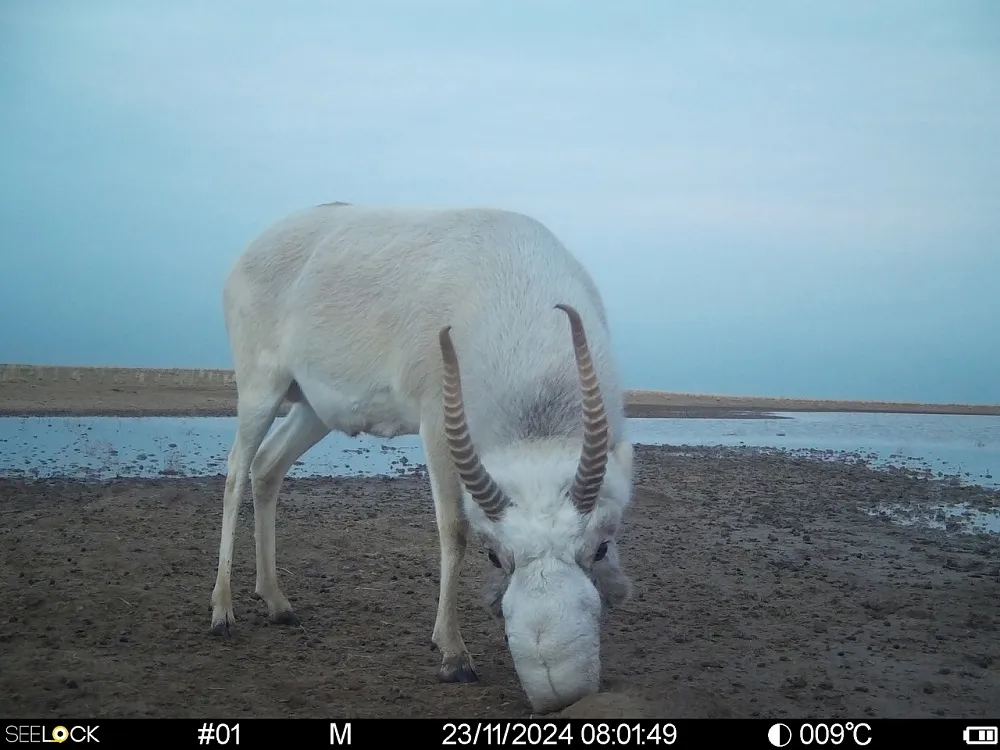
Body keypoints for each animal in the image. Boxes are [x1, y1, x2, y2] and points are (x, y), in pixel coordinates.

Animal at [211, 201, 632, 716]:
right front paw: (453, 656)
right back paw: (222, 610)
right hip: (260, 389)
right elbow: (453, 529)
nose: (559, 690)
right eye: (496, 556)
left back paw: (277, 603)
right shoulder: (436, 426)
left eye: (602, 547)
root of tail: (252, 250)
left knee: (267, 466)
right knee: (236, 469)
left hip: (312, 410)